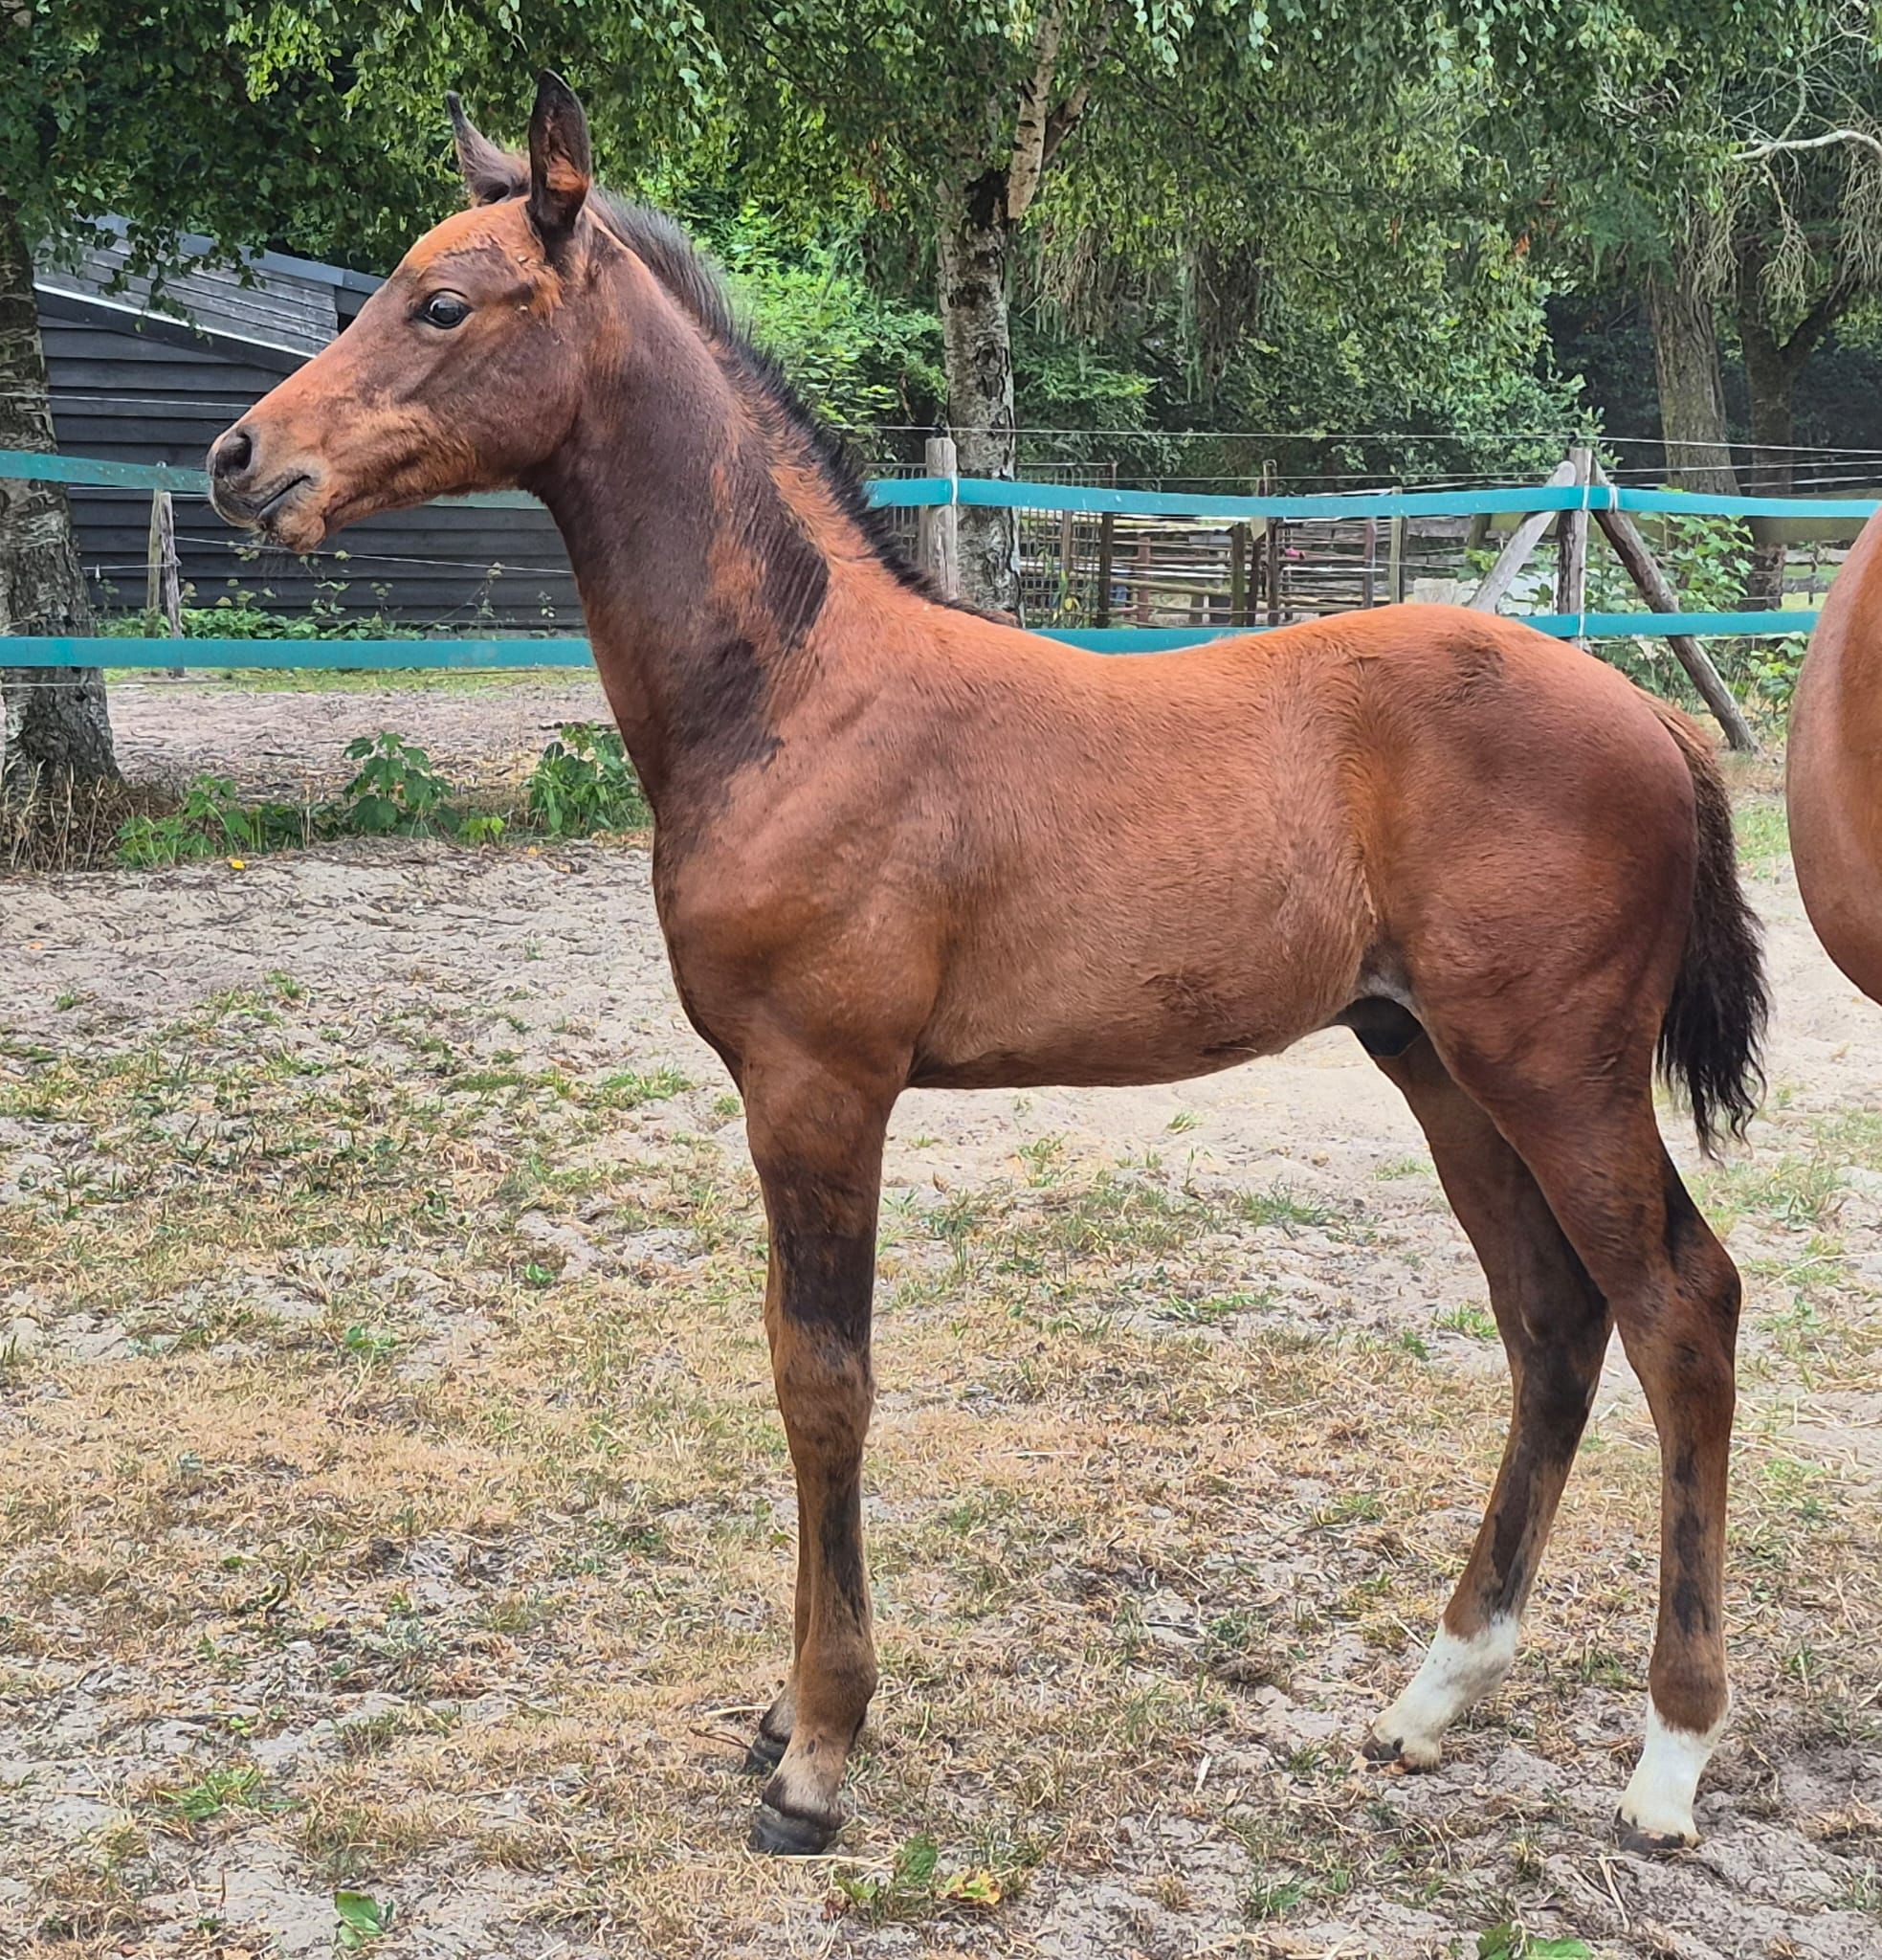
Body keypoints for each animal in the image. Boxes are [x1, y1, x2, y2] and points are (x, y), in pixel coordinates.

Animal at [208, 73, 1766, 1860]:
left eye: (444, 303)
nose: (240, 460)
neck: (795, 691)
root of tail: (1644, 716)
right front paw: (782, 1713)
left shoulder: (819, 1087)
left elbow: (821, 1383)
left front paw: (816, 1750)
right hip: (1433, 1060)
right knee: (1548, 1317)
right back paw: (1433, 1694)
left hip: (1553, 1066)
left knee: (1677, 1308)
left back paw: (1667, 1755)